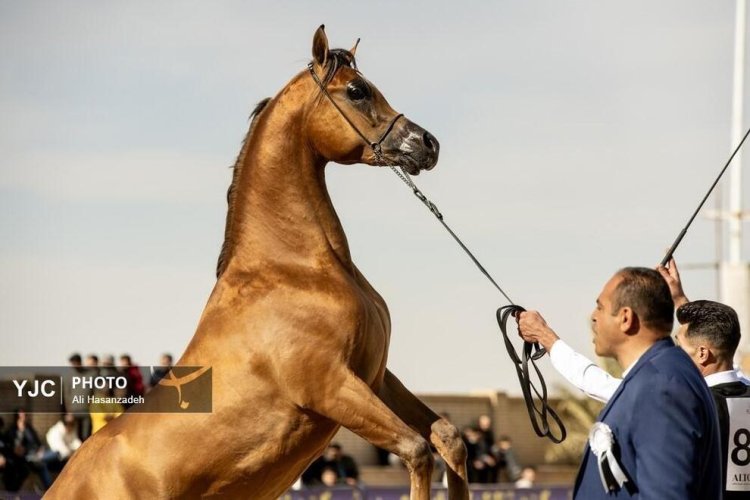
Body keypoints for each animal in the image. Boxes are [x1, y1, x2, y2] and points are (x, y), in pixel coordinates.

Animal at [44, 27, 468, 500]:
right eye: (357, 91)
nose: (427, 144)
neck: (295, 268)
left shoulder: (375, 376)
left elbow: (448, 437)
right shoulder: (332, 386)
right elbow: (417, 450)